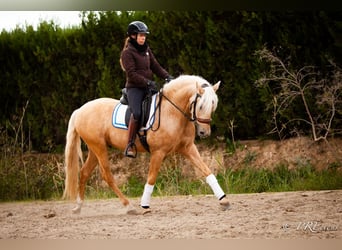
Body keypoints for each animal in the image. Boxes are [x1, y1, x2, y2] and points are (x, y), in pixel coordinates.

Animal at [64, 74, 230, 215]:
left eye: (213, 105)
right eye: (201, 106)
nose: (204, 132)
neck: (172, 112)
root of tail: (80, 110)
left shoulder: (188, 148)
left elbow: (207, 171)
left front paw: (224, 200)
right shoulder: (158, 152)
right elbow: (151, 178)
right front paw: (145, 206)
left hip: (95, 148)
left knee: (84, 172)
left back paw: (78, 207)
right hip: (99, 148)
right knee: (106, 175)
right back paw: (129, 206)